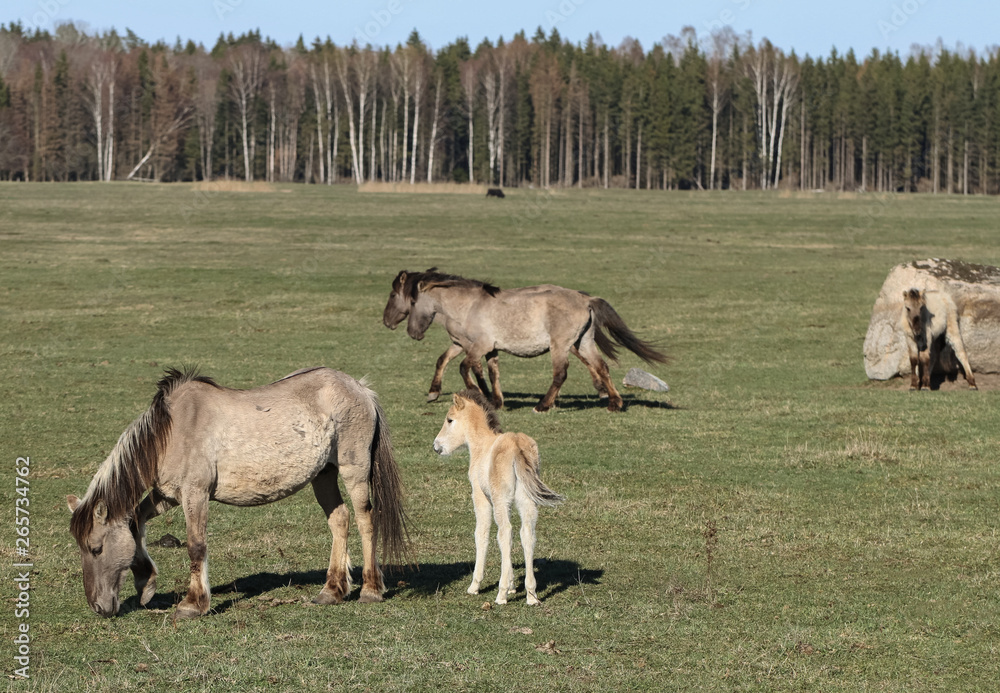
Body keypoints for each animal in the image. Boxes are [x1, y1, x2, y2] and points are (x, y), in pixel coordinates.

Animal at [67, 367, 410, 619]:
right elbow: (136, 521)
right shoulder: (168, 496)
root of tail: (360, 388)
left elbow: (196, 546)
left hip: (355, 469)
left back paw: (370, 589)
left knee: (366, 520)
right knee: (339, 519)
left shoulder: (195, 494)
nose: (97, 607)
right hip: (323, 475)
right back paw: (333, 590)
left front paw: (192, 604)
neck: (173, 432)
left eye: (96, 548)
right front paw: (146, 583)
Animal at [382, 269, 669, 413]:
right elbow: (488, 371)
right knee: (602, 367)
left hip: (560, 345)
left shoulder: (478, 346)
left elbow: (466, 368)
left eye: (401, 297)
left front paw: (480, 397)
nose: (412, 332)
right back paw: (614, 403)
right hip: (583, 343)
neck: (470, 306)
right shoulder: (483, 348)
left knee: (561, 374)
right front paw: (494, 400)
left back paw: (542, 405)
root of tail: (586, 299)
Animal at [432, 389, 564, 605]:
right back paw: (531, 595)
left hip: (500, 500)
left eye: (450, 420)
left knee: (505, 533)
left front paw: (476, 585)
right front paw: (512, 585)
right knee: (527, 534)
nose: (436, 447)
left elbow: (481, 534)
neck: (481, 444)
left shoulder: (481, 497)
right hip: (527, 501)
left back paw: (501, 595)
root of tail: (518, 446)